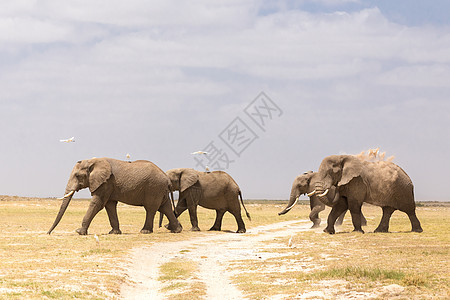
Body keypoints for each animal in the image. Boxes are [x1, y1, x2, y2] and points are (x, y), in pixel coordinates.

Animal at [48, 158, 182, 236]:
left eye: (77, 176)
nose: (48, 233)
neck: (93, 161)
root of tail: (166, 178)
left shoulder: (106, 182)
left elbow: (97, 203)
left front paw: (79, 232)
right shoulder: (108, 185)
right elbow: (110, 206)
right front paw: (114, 233)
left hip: (153, 188)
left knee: (151, 209)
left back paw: (145, 231)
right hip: (160, 190)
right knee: (165, 207)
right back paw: (177, 230)